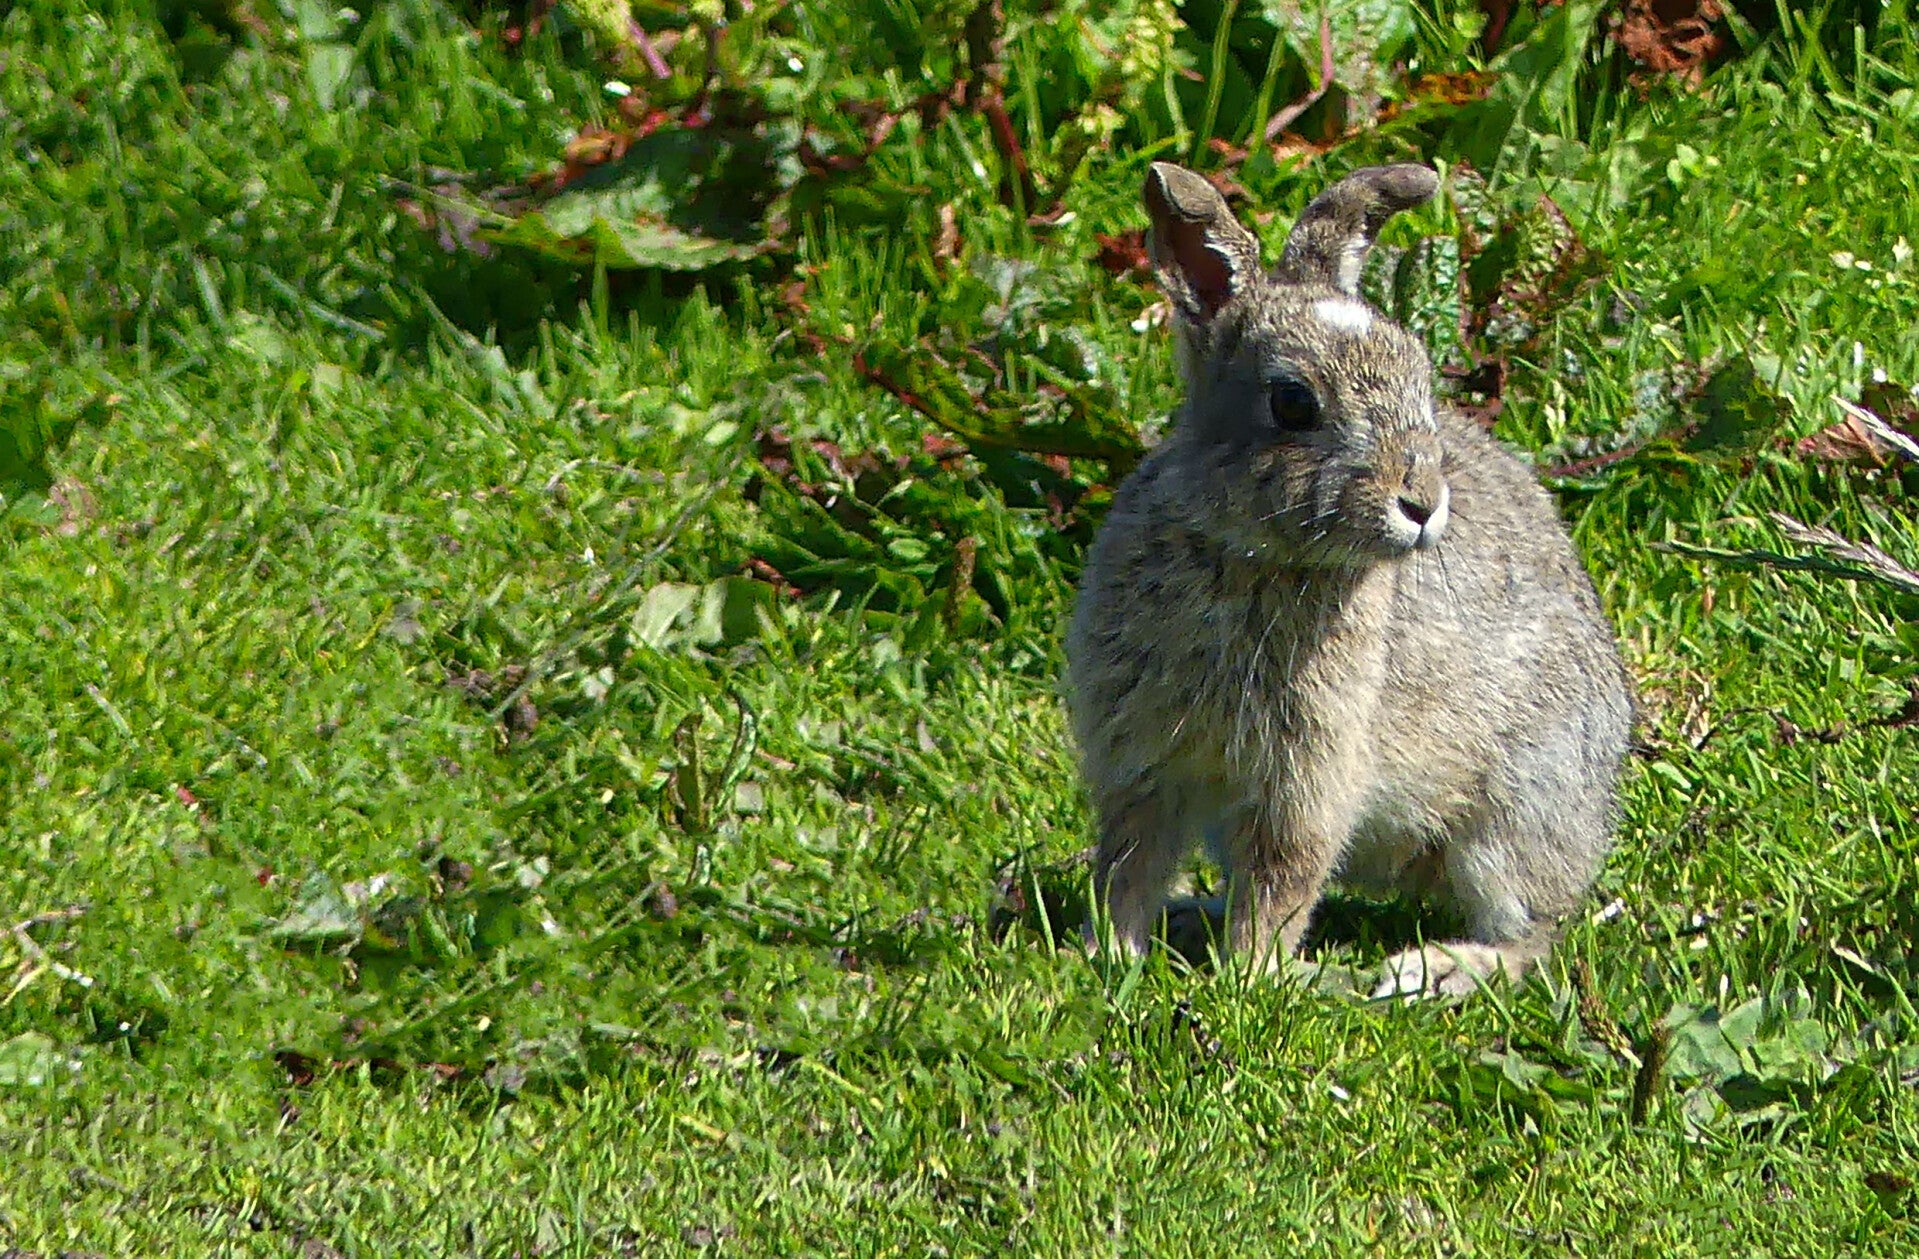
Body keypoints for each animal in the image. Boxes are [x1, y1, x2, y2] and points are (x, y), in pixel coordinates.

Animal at [1065, 161, 1633, 998]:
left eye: (1418, 381)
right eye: (1291, 402)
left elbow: (1284, 874)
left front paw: (1251, 977)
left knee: (1532, 933)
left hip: (1514, 813)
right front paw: (1110, 956)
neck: (1251, 553)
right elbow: (1129, 864)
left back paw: (1428, 971)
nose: (1422, 502)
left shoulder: (1306, 774)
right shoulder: (1142, 764)